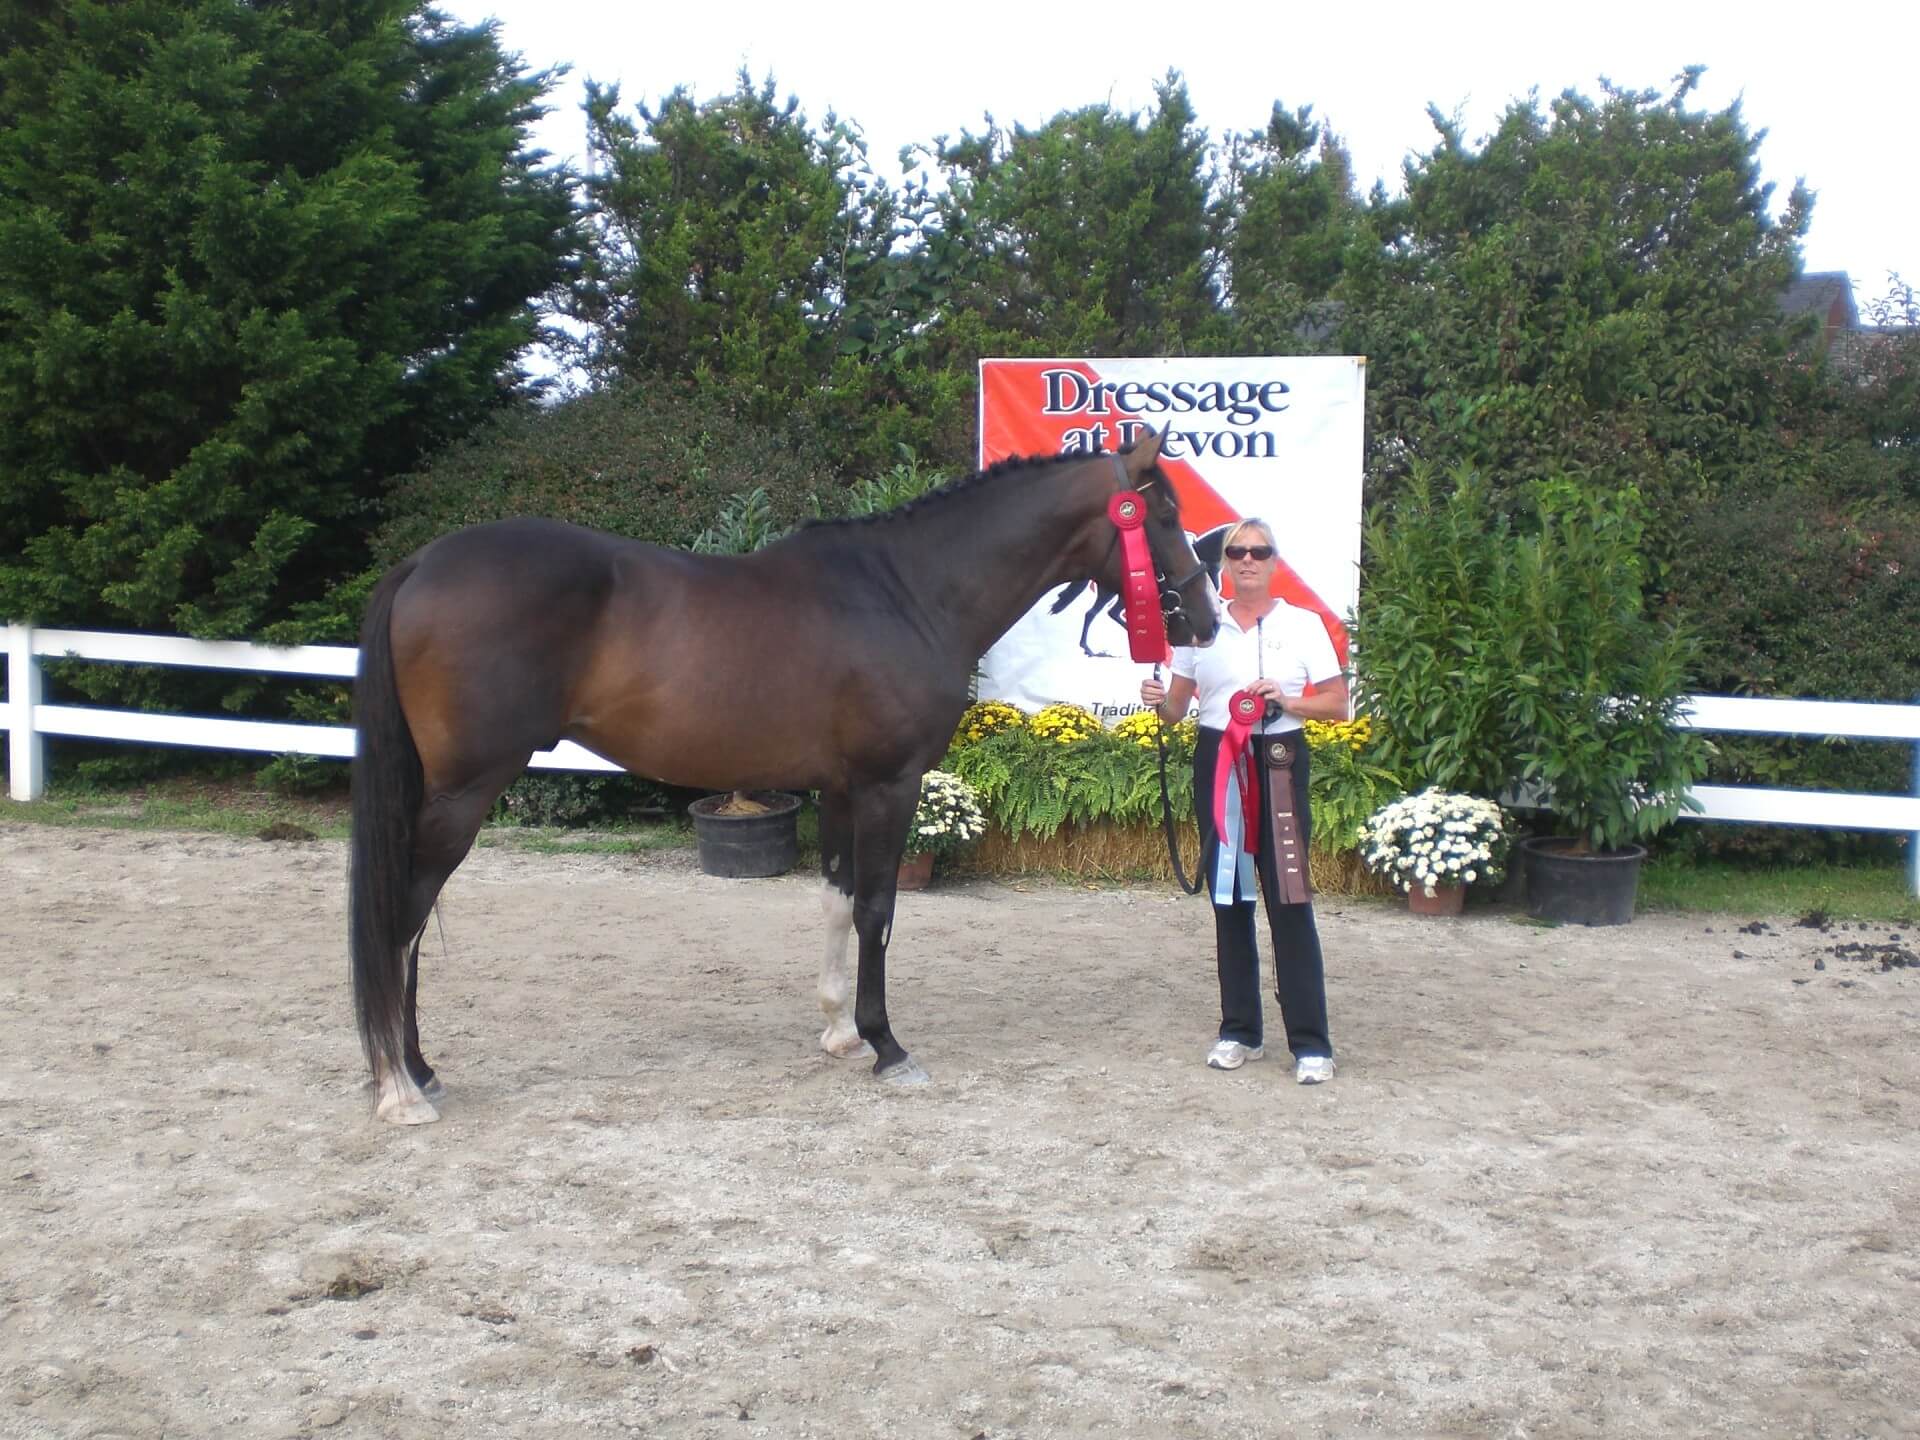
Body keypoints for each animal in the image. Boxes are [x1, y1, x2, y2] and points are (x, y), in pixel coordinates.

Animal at [348, 431, 1218, 1124]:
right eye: (1162, 517)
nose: (1205, 621)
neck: (908, 592)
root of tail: (422, 562)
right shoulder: (889, 785)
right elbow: (877, 910)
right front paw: (888, 1045)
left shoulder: (839, 789)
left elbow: (835, 899)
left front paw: (840, 1032)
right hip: (462, 793)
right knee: (403, 919)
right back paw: (400, 1090)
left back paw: (419, 1071)